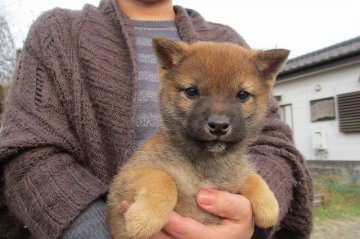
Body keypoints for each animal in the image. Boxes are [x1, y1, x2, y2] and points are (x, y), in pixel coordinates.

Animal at [107, 38, 290, 238]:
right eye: (191, 91)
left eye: (242, 95)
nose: (218, 125)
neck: (208, 164)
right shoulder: (124, 179)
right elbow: (161, 178)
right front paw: (144, 218)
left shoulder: (235, 176)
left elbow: (251, 176)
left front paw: (269, 206)